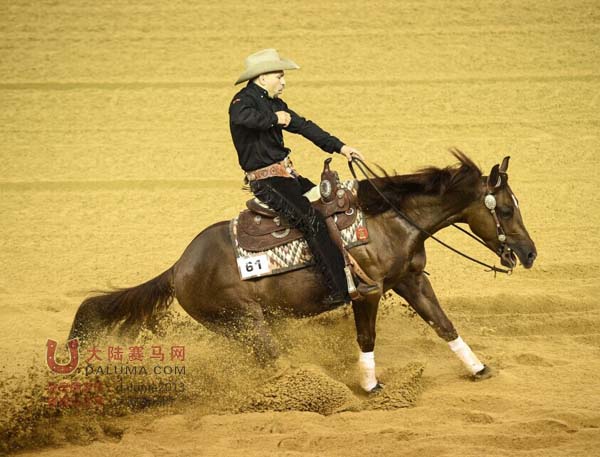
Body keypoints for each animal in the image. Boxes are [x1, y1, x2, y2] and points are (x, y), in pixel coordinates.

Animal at [68, 150, 537, 392]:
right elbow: (366, 339)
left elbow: (444, 324)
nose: (529, 253)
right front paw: (370, 387)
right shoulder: (367, 292)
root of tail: (178, 267)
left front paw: (478, 368)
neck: (388, 219)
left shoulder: (411, 280)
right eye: (506, 209)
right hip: (246, 322)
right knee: (273, 359)